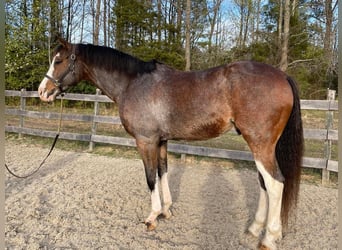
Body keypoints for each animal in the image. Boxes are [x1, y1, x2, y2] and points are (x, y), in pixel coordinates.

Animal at [38, 37, 304, 250]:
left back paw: (268, 238)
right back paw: (254, 228)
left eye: (59, 61)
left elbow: (150, 178)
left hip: (260, 144)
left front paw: (152, 217)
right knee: (263, 183)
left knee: (275, 183)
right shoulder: (162, 141)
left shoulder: (145, 141)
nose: (43, 91)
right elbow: (162, 172)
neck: (133, 84)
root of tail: (282, 75)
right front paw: (166, 210)